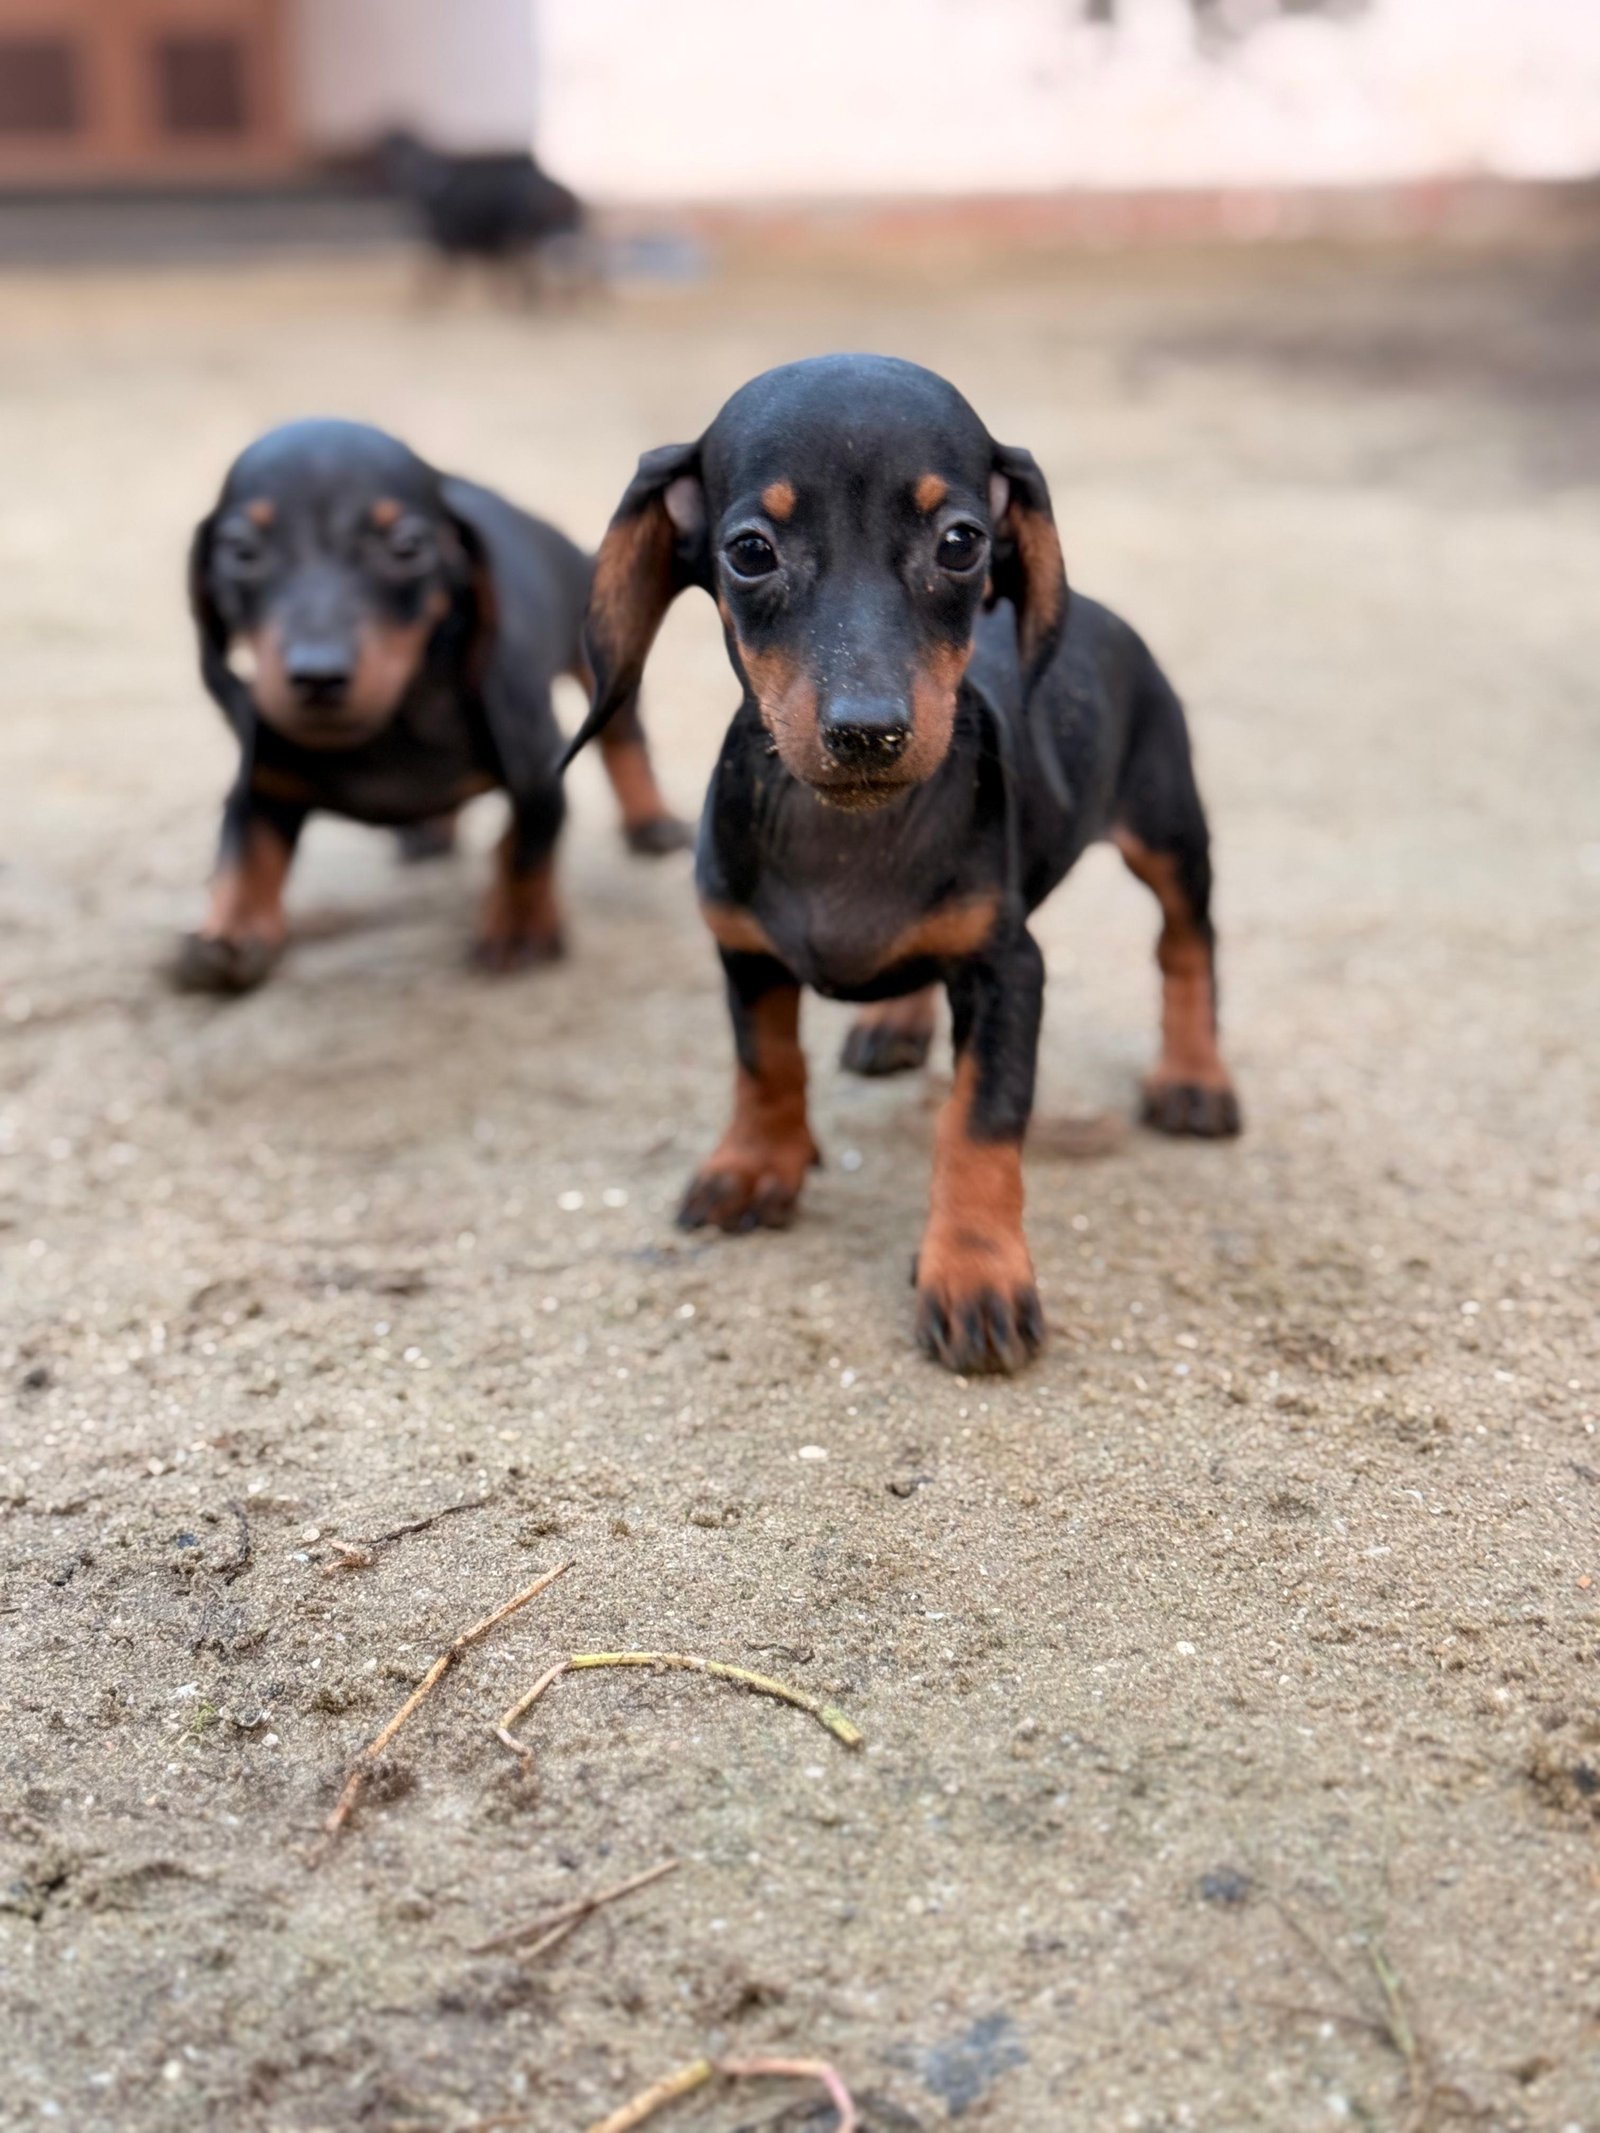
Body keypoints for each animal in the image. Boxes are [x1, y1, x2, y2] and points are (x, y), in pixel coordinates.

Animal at [181, 418, 691, 998]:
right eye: (240, 550)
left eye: (407, 546)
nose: (318, 676)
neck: (394, 722)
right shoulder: (266, 781)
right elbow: (245, 857)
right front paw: (230, 933)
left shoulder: (537, 771)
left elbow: (523, 846)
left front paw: (519, 927)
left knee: (624, 736)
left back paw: (651, 820)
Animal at [571, 356, 1245, 1373]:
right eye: (751, 552)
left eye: (961, 542)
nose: (867, 731)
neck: (851, 834)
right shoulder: (744, 950)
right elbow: (764, 1062)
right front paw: (755, 1163)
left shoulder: (1008, 970)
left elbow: (980, 1121)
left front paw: (975, 1273)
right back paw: (893, 1019)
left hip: (1168, 829)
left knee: (1186, 943)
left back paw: (1194, 1076)